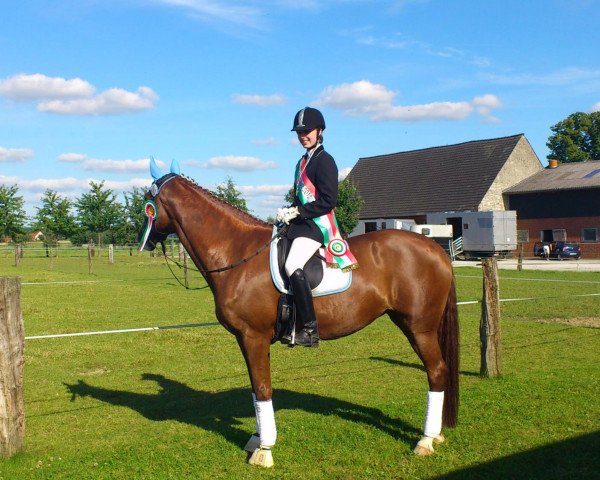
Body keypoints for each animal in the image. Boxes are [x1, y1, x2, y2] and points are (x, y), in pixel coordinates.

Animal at [139, 159, 460, 466]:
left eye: (147, 203)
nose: (145, 241)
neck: (237, 252)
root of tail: (435, 248)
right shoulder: (248, 340)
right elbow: (256, 388)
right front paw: (257, 438)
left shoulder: (253, 336)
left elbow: (263, 388)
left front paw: (264, 450)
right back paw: (435, 434)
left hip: (419, 327)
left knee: (436, 370)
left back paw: (425, 440)